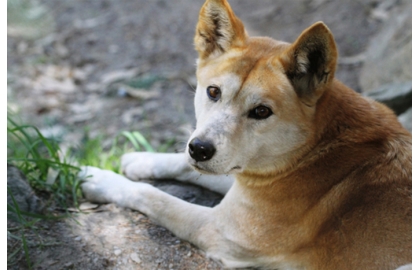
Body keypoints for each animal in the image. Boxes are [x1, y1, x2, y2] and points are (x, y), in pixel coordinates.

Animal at [80, 0, 412, 268]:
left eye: (261, 111)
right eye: (213, 92)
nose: (200, 149)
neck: (313, 152)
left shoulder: (218, 230)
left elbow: (153, 196)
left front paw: (98, 179)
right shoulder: (244, 180)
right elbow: (183, 166)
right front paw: (141, 159)